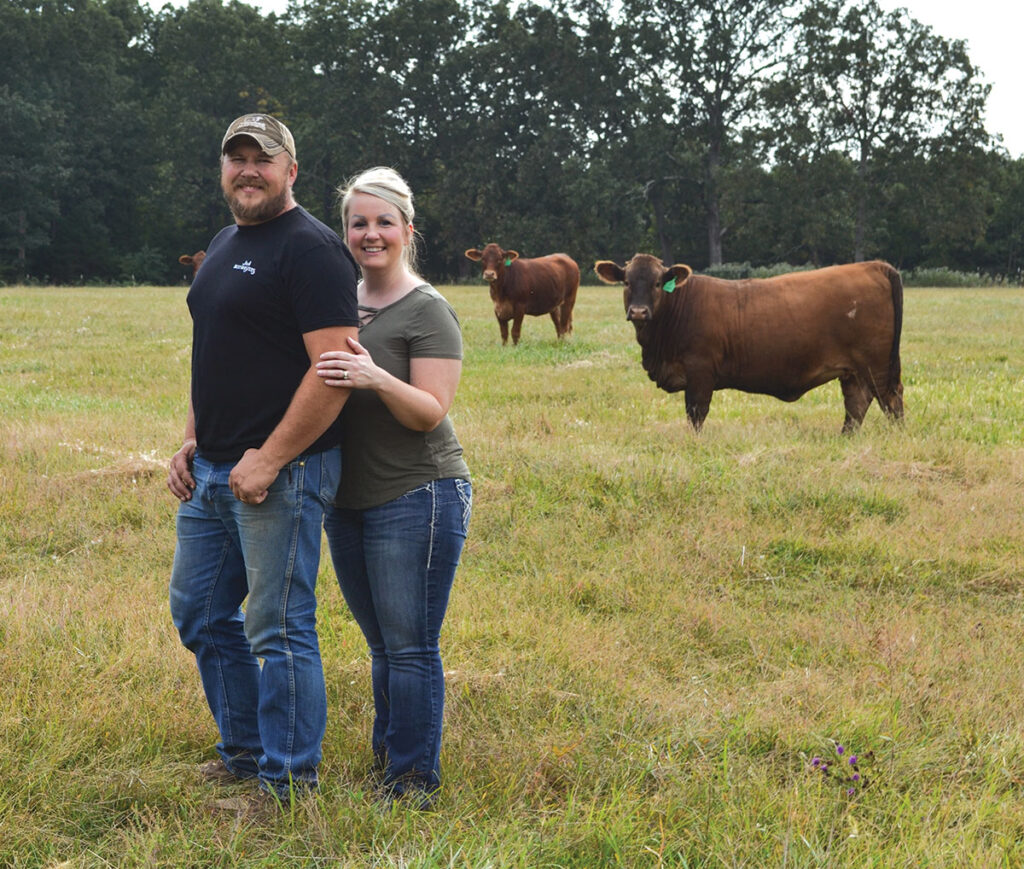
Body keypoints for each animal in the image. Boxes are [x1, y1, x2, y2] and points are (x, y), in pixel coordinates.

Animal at [593, 255, 905, 433]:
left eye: (658, 283)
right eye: (626, 282)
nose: (638, 312)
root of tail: (873, 266)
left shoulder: (700, 372)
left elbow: (696, 414)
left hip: (876, 366)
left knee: (890, 400)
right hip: (852, 371)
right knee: (856, 404)